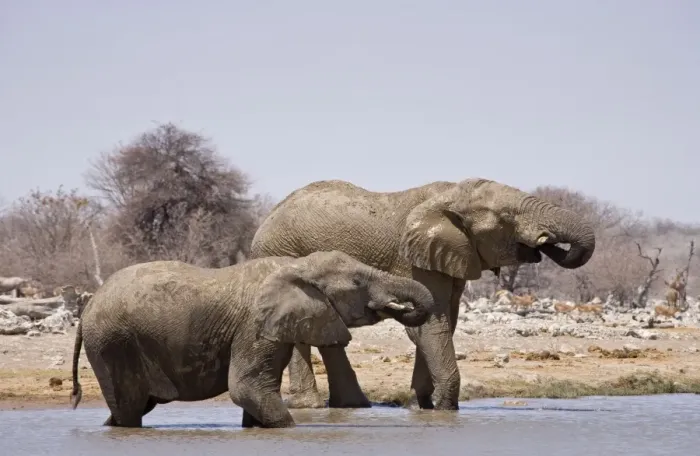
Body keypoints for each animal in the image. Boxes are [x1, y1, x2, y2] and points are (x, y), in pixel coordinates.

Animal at [69, 250, 436, 428]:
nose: (404, 309)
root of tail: (86, 309)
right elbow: (246, 387)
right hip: (113, 344)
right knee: (130, 408)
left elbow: (257, 390)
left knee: (128, 410)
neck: (297, 266)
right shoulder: (253, 325)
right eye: (358, 282)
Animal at [249, 178, 596, 410]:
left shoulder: (452, 255)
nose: (545, 241)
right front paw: (443, 407)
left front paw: (422, 407)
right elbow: (433, 324)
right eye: (506, 219)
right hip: (280, 253)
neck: (451, 195)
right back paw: (310, 406)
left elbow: (444, 323)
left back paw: (353, 406)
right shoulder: (415, 259)